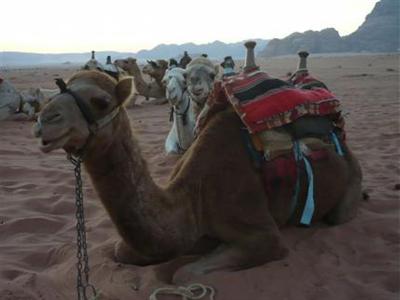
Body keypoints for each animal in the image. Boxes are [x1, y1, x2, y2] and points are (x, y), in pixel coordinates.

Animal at [32, 68, 360, 284]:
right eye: (58, 90)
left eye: (100, 101)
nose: (44, 120)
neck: (193, 195)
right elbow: (121, 250)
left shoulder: (263, 232)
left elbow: (185, 273)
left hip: (349, 184)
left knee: (340, 215)